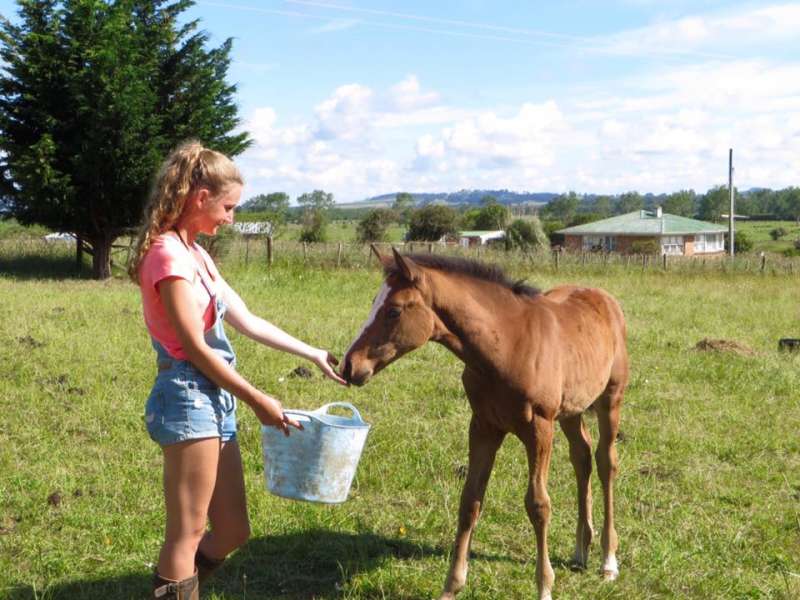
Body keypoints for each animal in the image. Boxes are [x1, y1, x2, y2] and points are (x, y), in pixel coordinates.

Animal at [342, 247, 629, 600]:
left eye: (394, 310)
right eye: (373, 302)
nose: (348, 366)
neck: (507, 345)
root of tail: (603, 296)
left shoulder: (540, 428)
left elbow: (538, 505)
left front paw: (544, 587)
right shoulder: (483, 426)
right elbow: (470, 500)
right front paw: (451, 587)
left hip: (610, 399)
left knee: (605, 462)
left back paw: (608, 560)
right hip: (572, 409)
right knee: (582, 457)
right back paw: (580, 551)